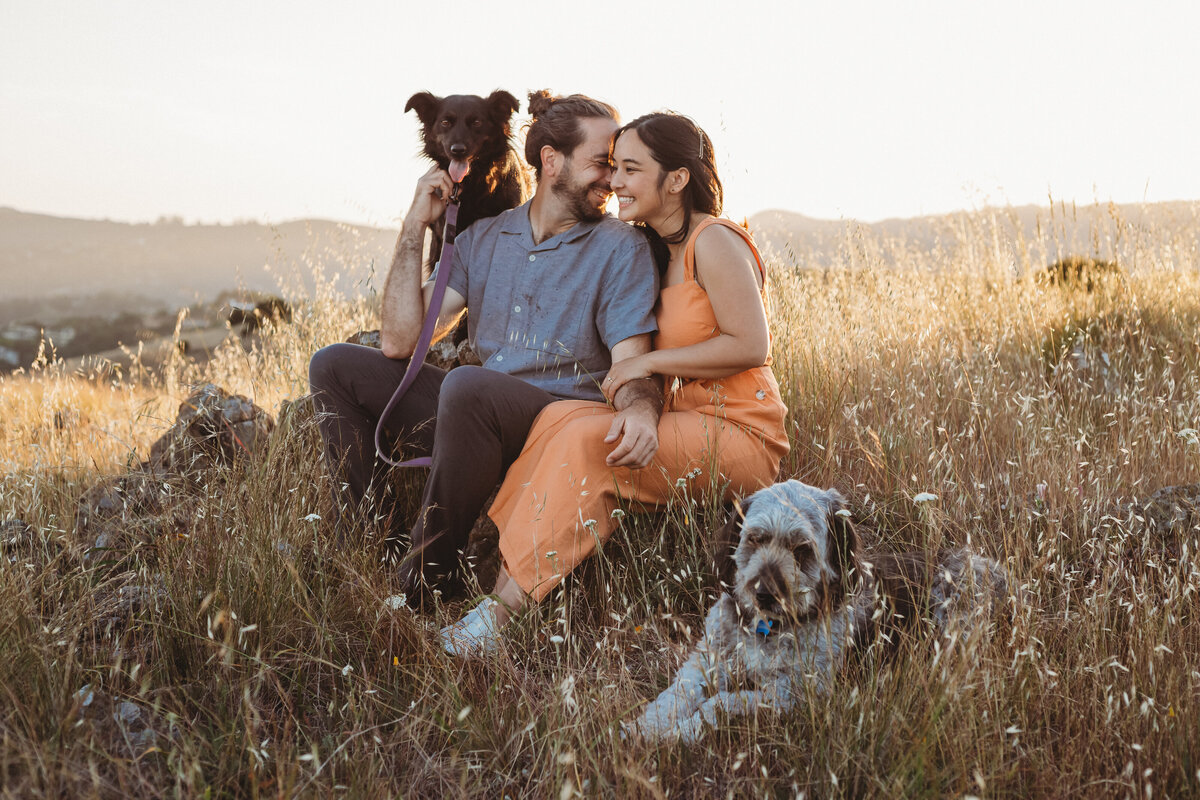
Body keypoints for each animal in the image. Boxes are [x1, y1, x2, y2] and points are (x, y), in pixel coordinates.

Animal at [624, 482, 1008, 743]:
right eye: (756, 538)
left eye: (802, 549)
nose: (763, 593)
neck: (768, 628)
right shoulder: (705, 660)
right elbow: (676, 695)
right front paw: (646, 728)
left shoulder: (793, 692)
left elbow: (718, 703)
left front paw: (682, 732)